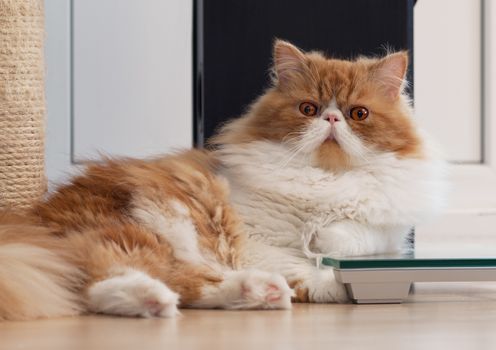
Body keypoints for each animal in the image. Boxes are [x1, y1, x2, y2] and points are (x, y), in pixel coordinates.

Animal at [0, 40, 446, 320]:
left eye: (358, 114)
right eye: (309, 108)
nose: (332, 119)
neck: (323, 180)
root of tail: (30, 219)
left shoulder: (389, 234)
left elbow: (355, 234)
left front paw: (323, 239)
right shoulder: (255, 240)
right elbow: (304, 266)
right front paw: (331, 280)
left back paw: (253, 293)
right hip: (142, 230)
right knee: (108, 278)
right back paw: (168, 299)